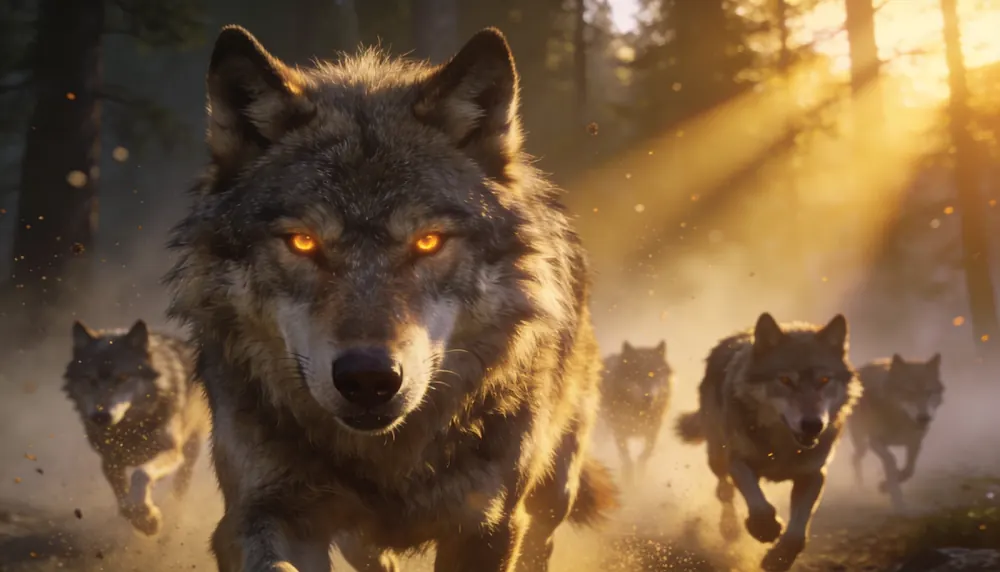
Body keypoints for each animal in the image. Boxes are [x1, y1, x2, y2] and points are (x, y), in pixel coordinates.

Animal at [62, 319, 210, 536]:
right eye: (90, 380)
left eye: (123, 378)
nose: (101, 416)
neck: (130, 429)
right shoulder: (109, 461)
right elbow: (124, 503)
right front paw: (145, 520)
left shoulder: (171, 451)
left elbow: (141, 474)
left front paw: (149, 517)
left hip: (190, 447)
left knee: (182, 482)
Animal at [164, 25, 618, 572]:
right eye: (303, 242)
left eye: (428, 241)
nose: (368, 379)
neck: (387, 460)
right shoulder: (262, 513)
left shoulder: (487, 524)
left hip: (551, 494)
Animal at [600, 340, 672, 484]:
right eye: (636, 374)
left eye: (653, 374)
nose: (648, 397)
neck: (639, 414)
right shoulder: (619, 432)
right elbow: (626, 458)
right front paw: (628, 479)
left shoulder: (653, 431)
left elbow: (646, 453)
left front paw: (640, 472)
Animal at [674, 312, 861, 572]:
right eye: (785, 380)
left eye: (824, 379)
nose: (812, 425)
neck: (782, 448)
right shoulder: (738, 461)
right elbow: (759, 504)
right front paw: (765, 529)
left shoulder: (813, 474)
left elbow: (797, 532)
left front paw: (779, 558)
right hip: (717, 457)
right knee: (724, 491)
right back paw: (729, 529)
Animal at [848, 353, 944, 510]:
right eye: (909, 393)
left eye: (929, 393)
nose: (924, 418)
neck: (900, 421)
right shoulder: (875, 442)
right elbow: (891, 460)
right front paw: (897, 499)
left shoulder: (915, 443)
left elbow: (909, 470)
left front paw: (884, 487)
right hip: (863, 443)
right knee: (854, 458)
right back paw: (859, 488)